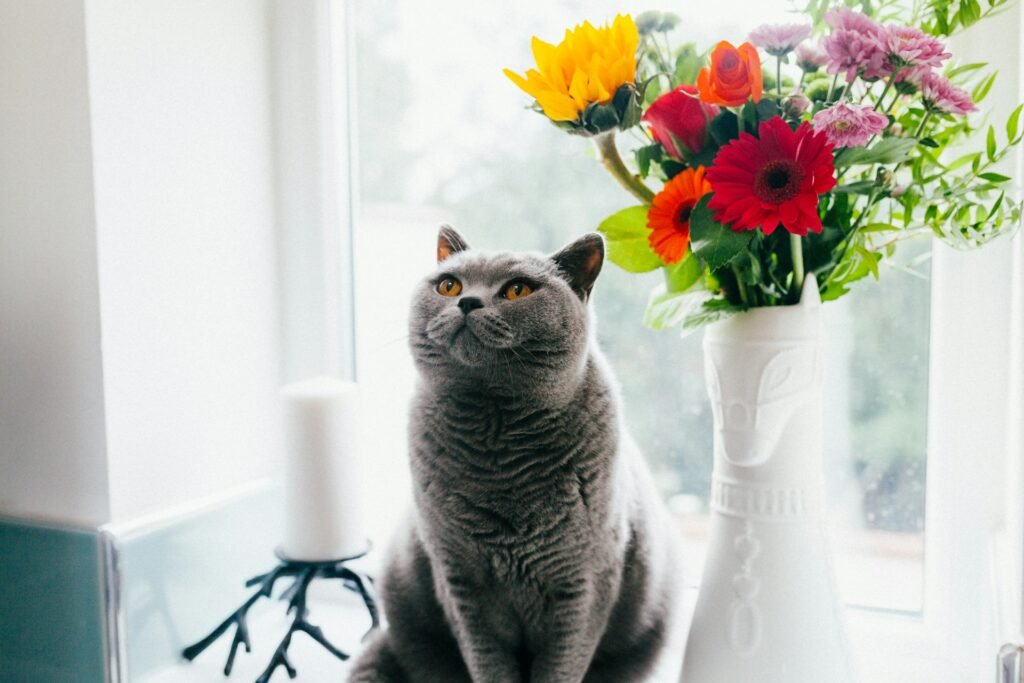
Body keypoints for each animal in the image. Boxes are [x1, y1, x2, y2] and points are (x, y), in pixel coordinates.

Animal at [348, 228, 684, 683]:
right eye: (449, 285)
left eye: (517, 290)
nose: (468, 302)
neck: (496, 439)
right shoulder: (460, 583)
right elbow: (488, 664)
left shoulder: (585, 585)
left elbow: (562, 666)